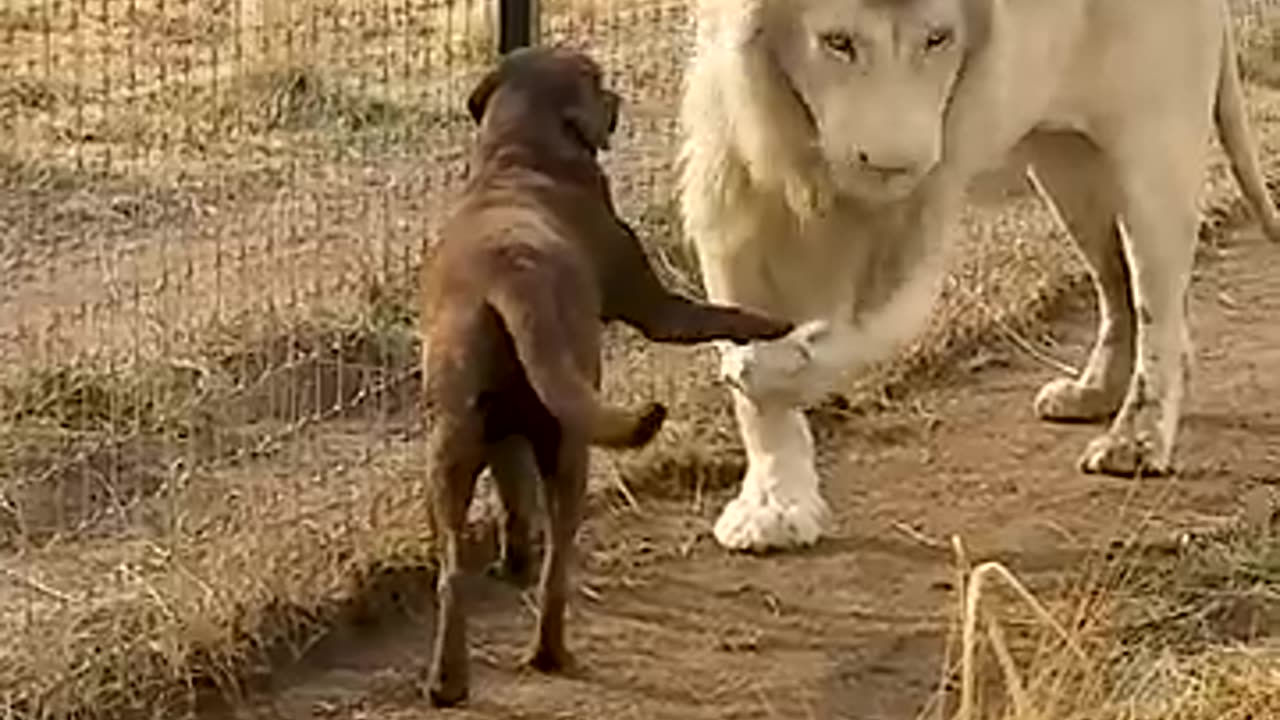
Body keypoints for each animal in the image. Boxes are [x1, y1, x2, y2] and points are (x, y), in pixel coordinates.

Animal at [419, 46, 793, 707]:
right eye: (595, 77)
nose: (617, 95)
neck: (520, 156)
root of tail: (510, 278)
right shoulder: (659, 309)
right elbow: (723, 314)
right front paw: (778, 323)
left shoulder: (506, 439)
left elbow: (513, 503)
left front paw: (511, 561)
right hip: (571, 449)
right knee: (556, 571)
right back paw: (550, 654)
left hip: (453, 448)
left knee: (452, 574)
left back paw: (448, 681)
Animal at [680, 0, 1280, 548]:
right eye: (838, 43)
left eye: (938, 38)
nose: (893, 165)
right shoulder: (734, 186)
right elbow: (754, 373)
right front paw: (772, 508)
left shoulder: (927, 193)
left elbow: (862, 330)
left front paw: (763, 368)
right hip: (1065, 163)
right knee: (1118, 286)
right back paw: (1093, 393)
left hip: (1152, 149)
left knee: (1158, 302)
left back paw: (1136, 441)